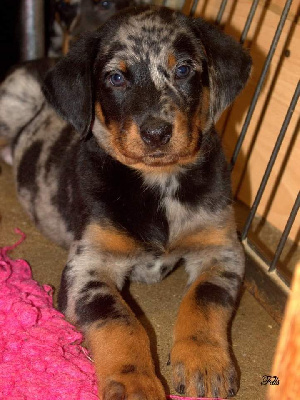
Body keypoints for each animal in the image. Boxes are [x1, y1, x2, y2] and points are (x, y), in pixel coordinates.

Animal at [0, 7, 252, 400]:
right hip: (12, 100)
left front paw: (204, 362)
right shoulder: (88, 265)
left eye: (184, 69)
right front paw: (135, 383)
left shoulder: (221, 248)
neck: (159, 183)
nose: (156, 133)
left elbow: (203, 299)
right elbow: (120, 322)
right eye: (116, 77)